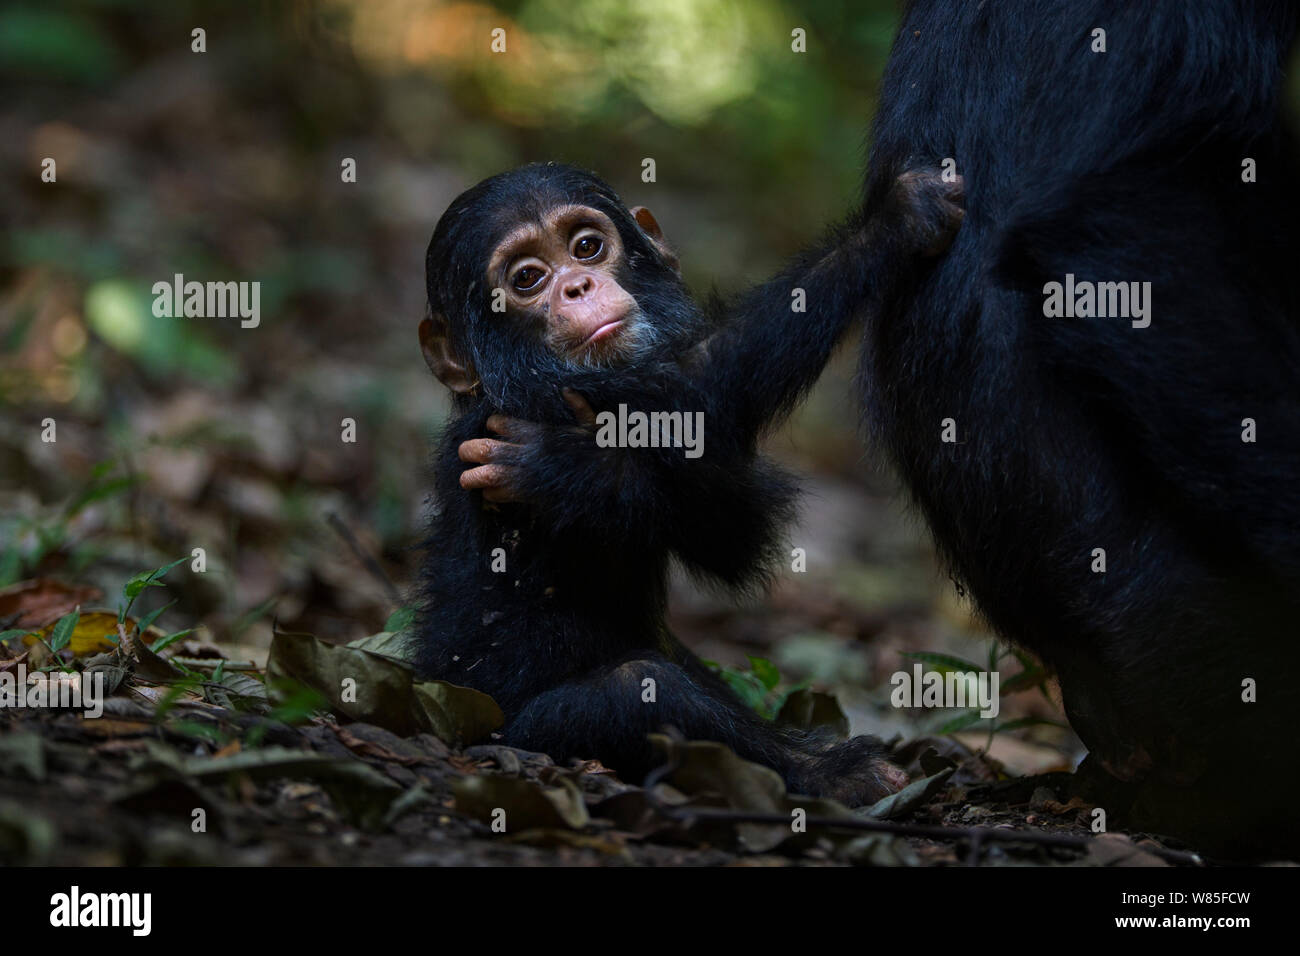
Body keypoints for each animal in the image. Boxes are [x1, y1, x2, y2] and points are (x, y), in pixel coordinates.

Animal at [418, 164, 967, 806]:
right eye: (527, 278)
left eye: (587, 246)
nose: (577, 286)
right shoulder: (541, 399)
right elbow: (696, 387)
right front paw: (893, 223)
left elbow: (727, 524)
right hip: (527, 733)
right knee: (638, 688)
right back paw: (837, 772)